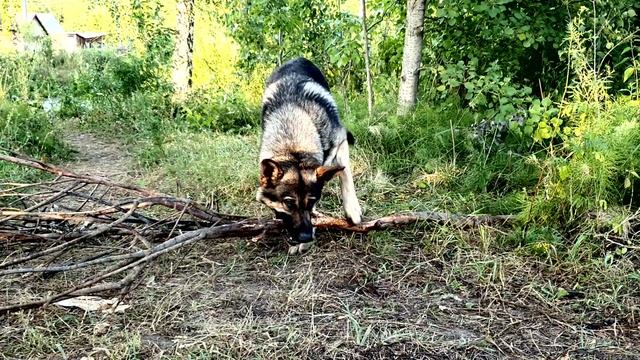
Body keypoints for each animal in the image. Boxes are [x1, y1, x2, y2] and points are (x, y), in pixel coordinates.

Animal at [258, 57, 362, 255]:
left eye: (311, 202)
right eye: (288, 204)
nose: (306, 237)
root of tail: (297, 58)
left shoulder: (340, 140)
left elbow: (345, 174)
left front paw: (352, 209)